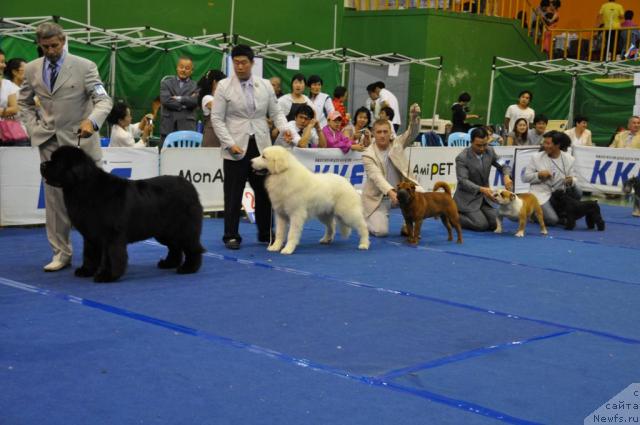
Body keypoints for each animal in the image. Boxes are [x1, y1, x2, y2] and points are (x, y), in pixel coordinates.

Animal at [40, 146, 204, 282]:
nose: (42, 165)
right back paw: (169, 263)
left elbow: (110, 255)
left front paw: (107, 275)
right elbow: (89, 253)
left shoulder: (111, 234)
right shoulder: (91, 234)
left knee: (192, 247)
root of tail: (189, 185)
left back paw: (189, 268)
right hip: (164, 231)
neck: (84, 188)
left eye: (58, 162)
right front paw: (86, 271)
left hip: (184, 228)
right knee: (175, 247)